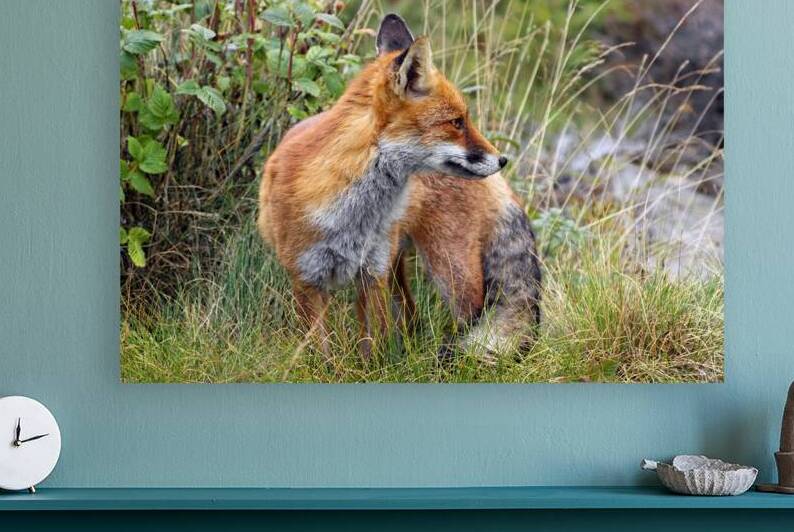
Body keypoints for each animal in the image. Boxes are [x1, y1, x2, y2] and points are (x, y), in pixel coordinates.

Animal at [258, 14, 540, 358]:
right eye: (456, 122)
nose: (502, 159)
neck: (352, 213)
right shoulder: (306, 280)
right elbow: (321, 353)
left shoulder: (372, 273)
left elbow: (374, 349)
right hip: (402, 267)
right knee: (411, 313)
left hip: (449, 270)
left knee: (463, 316)